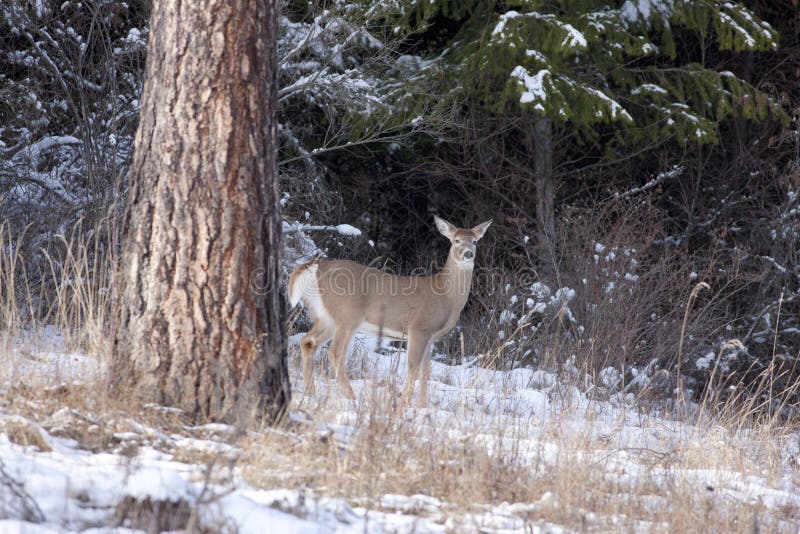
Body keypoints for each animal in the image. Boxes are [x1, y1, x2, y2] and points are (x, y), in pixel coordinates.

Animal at [287, 215, 492, 407]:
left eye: (475, 241)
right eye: (456, 240)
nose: (468, 253)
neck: (445, 295)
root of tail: (316, 267)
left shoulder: (431, 337)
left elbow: (426, 371)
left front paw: (422, 407)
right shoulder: (418, 327)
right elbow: (413, 368)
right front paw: (403, 406)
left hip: (324, 317)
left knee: (308, 342)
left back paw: (310, 392)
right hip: (347, 315)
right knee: (335, 352)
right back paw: (351, 398)